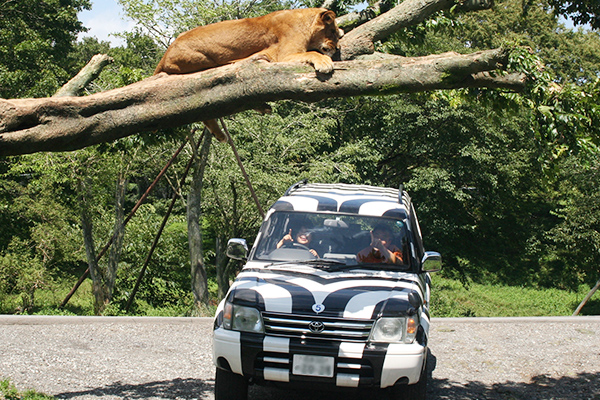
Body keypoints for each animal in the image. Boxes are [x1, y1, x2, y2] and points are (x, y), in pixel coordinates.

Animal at [155, 7, 342, 142]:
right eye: (332, 31)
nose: (336, 48)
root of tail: (164, 57)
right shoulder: (284, 55)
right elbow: (314, 53)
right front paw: (325, 63)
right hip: (203, 59)